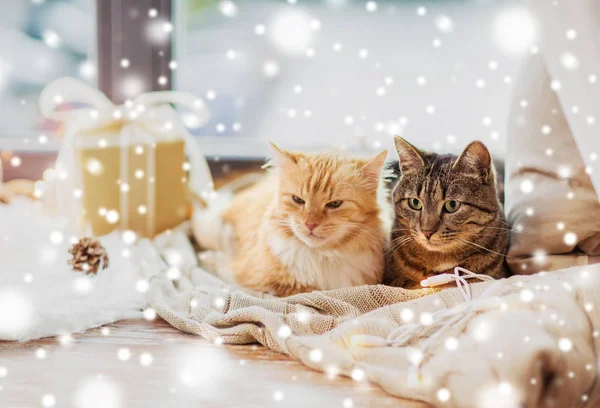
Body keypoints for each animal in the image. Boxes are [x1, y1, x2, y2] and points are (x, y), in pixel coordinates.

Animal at [218, 143, 392, 296]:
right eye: (298, 200)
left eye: (335, 204)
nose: (310, 224)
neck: (322, 256)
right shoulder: (254, 279)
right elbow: (303, 290)